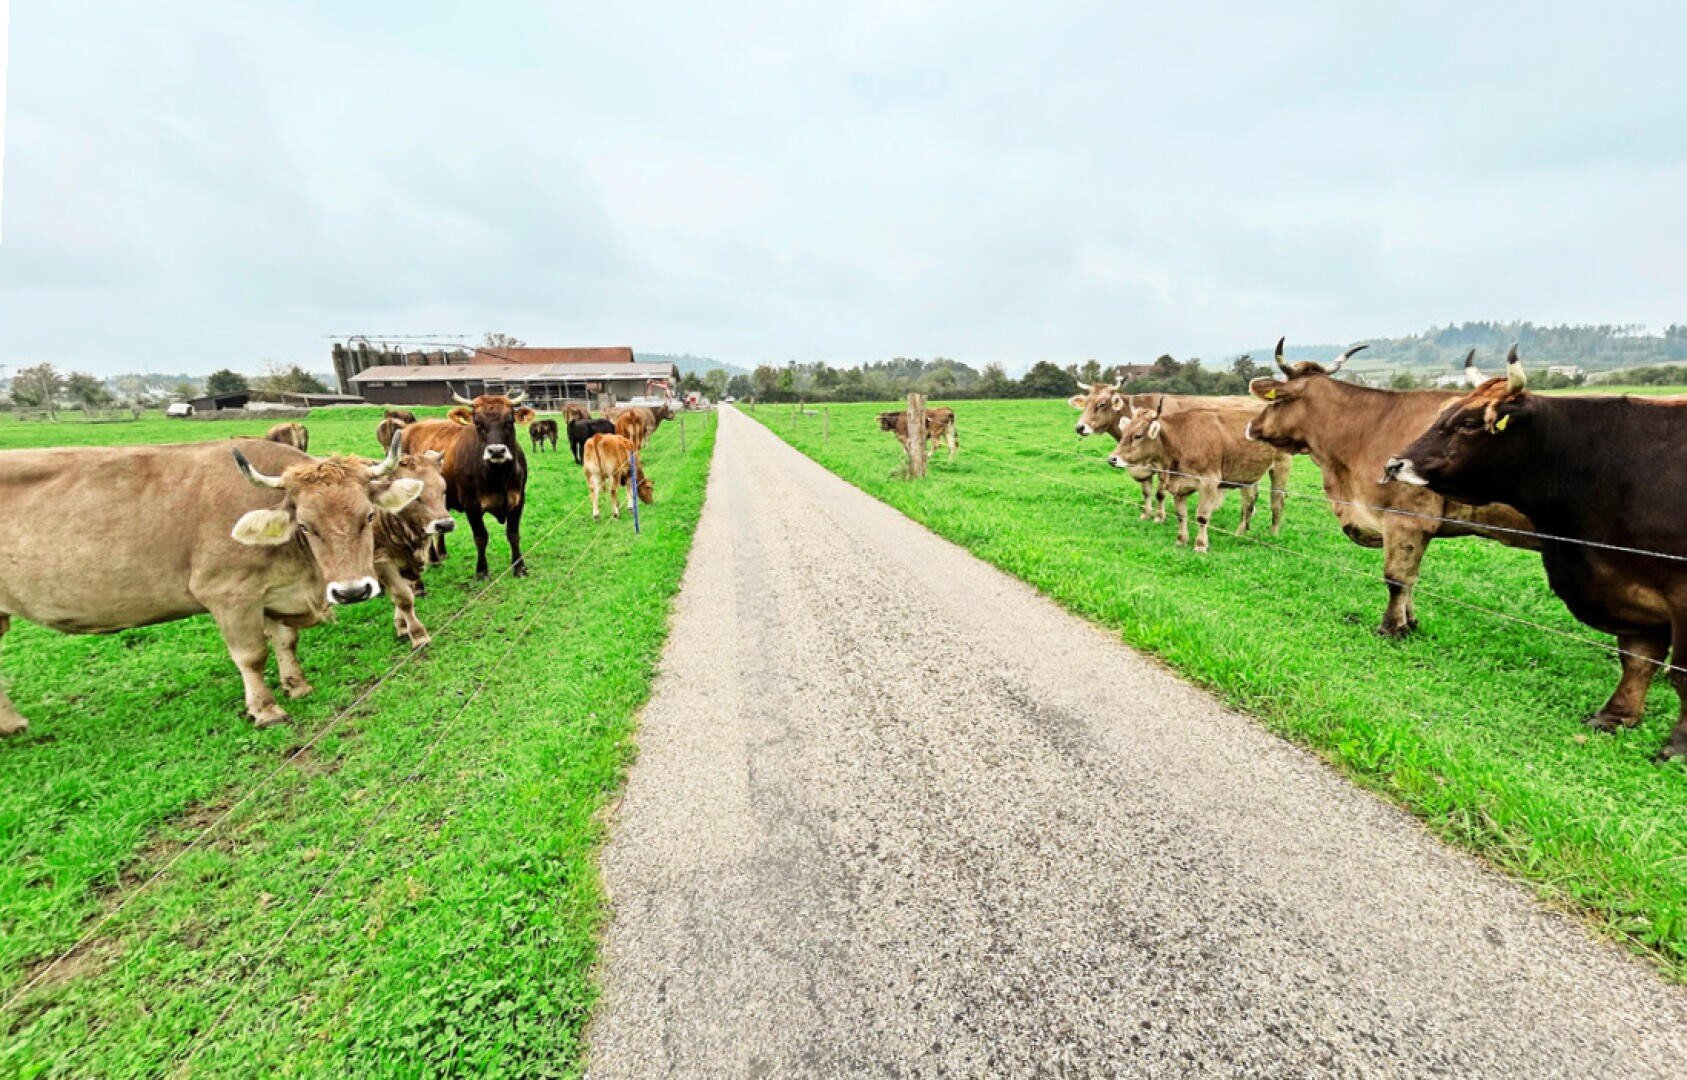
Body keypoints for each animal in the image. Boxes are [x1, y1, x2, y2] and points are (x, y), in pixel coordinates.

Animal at [0, 437, 423, 733]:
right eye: (305, 525)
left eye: (368, 516)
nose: (352, 591)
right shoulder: (229, 593)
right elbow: (251, 655)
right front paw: (266, 709)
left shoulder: (272, 591)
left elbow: (286, 641)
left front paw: (296, 685)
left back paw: (11, 724)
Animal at [401, 390, 533, 578]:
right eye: (478, 423)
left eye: (510, 421)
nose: (497, 451)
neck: (498, 476)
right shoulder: (471, 505)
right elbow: (480, 537)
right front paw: (482, 571)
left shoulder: (518, 499)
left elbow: (513, 534)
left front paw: (519, 567)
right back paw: (434, 559)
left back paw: (442, 552)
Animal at [1108, 400, 1290, 552]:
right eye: (1124, 432)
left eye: (1138, 435)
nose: (1112, 459)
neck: (1180, 441)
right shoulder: (1179, 485)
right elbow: (1181, 515)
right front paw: (1181, 540)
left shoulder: (1209, 483)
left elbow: (1202, 516)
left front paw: (1200, 545)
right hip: (1247, 475)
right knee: (1248, 504)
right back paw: (1239, 534)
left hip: (1280, 467)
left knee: (1276, 503)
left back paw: (1273, 536)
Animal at [1246, 338, 1536, 636]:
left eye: (1275, 400)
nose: (1251, 425)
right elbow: (1410, 580)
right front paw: (1410, 623)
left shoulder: (1406, 521)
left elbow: (1397, 578)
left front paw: (1391, 628)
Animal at [1384, 349, 1687, 758]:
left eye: (1468, 423)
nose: (1394, 464)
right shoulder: (1628, 585)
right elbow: (1637, 657)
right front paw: (1614, 717)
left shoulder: (1679, 594)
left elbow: (1680, 673)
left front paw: (1677, 746)